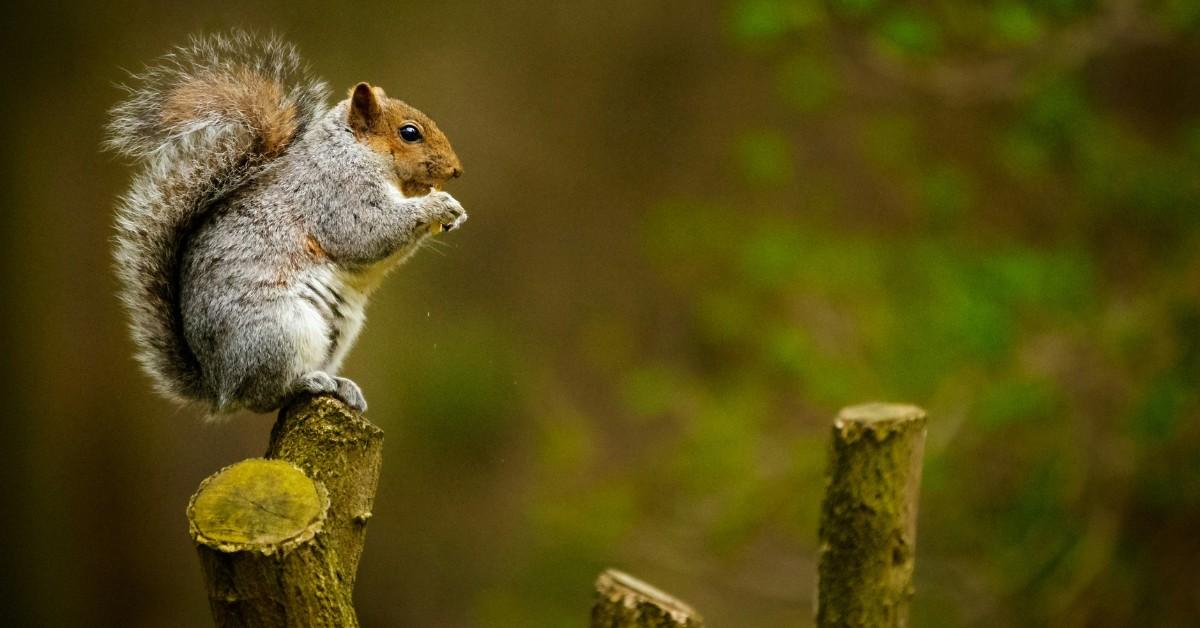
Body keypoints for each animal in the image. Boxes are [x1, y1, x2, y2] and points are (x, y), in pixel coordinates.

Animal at [105, 33, 465, 417]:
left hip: (338, 332)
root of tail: (219, 386)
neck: (355, 149)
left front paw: (454, 212)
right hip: (280, 331)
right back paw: (309, 382)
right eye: (409, 133)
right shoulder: (337, 193)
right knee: (266, 395)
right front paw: (438, 205)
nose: (456, 170)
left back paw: (341, 386)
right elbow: (368, 232)